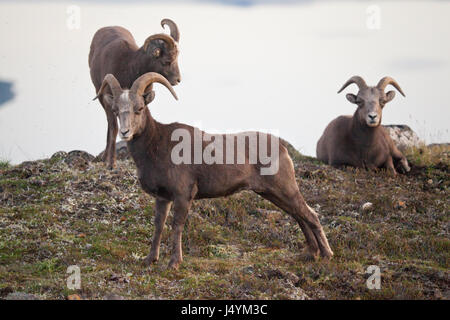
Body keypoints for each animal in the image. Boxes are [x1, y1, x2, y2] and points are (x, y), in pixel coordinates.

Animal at [96, 72, 334, 270]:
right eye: (116, 110)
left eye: (139, 108)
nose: (125, 132)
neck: (157, 146)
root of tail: (283, 149)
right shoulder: (163, 199)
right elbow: (158, 226)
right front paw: (149, 260)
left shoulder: (183, 196)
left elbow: (176, 226)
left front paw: (174, 264)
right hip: (273, 193)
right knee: (299, 216)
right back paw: (311, 254)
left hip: (285, 189)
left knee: (310, 215)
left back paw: (327, 255)